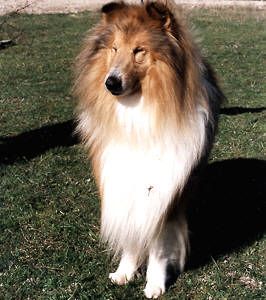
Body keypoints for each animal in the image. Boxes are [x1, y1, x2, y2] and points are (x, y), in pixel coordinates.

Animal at [72, 1, 224, 298]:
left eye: (139, 50)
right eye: (114, 48)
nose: (110, 83)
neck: (138, 114)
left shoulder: (166, 189)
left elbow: (158, 244)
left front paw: (154, 284)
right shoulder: (125, 182)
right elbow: (133, 230)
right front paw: (125, 272)